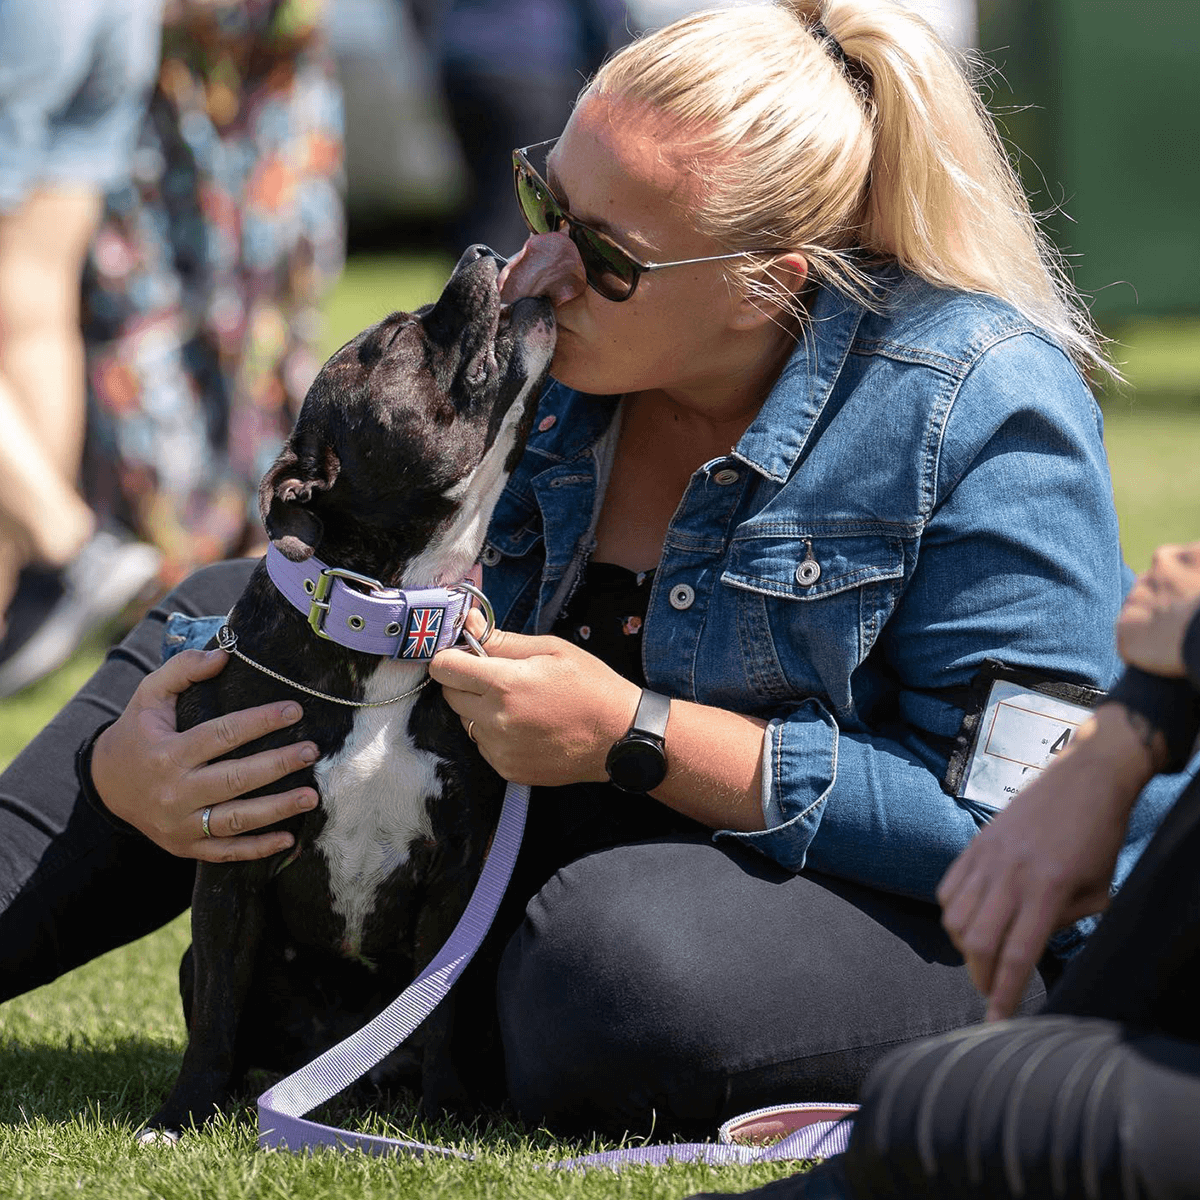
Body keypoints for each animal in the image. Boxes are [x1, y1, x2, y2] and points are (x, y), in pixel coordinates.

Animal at [142, 248, 554, 1137]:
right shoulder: (231, 866)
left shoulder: (457, 880)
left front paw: (447, 1109)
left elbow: (440, 1008)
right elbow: (216, 1012)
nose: (478, 253)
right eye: (397, 337)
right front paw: (184, 1111)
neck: (390, 618)